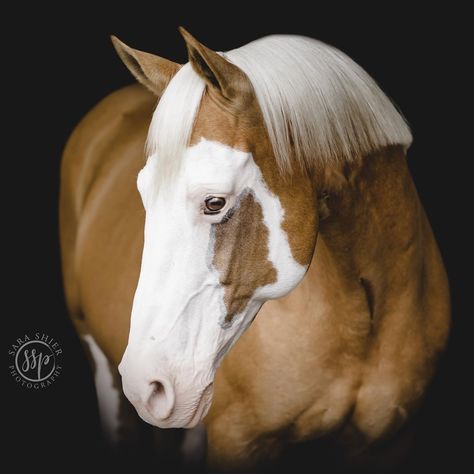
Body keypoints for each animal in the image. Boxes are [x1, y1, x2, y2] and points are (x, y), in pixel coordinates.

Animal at [59, 29, 448, 470]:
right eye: (143, 193)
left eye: (214, 202)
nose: (148, 386)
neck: (362, 321)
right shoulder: (237, 438)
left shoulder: (387, 443)